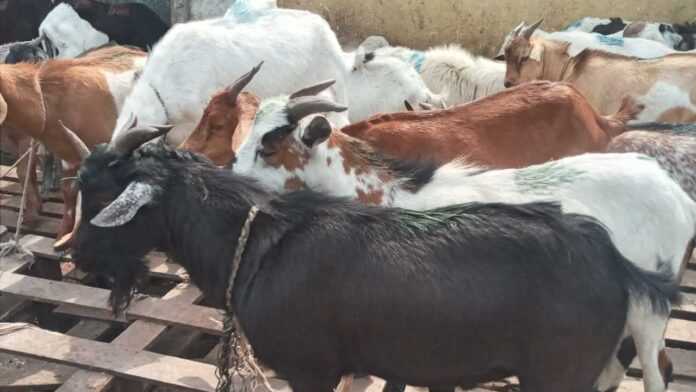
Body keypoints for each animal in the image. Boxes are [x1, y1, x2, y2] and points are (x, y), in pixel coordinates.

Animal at [65, 124, 680, 392]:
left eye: (96, 192)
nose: (74, 256)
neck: (259, 239)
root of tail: (615, 262)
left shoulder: (309, 368)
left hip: (557, 375)